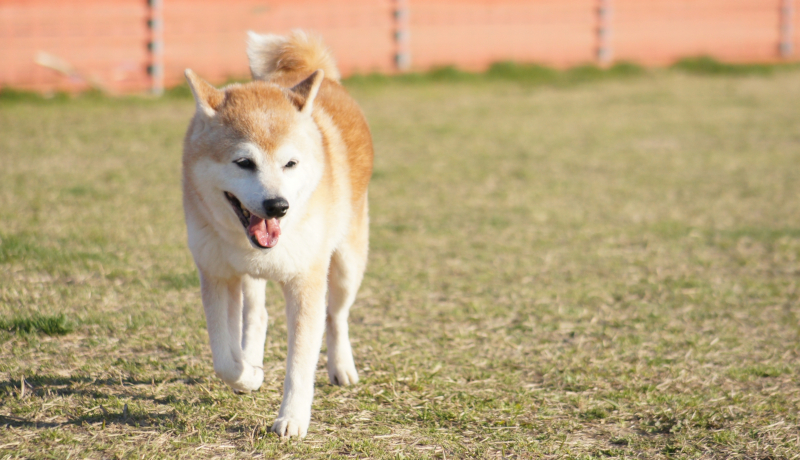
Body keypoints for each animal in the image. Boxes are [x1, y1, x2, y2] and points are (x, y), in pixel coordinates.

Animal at [184, 30, 376, 436]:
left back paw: (341, 367)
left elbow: (300, 363)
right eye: (243, 162)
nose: (277, 206)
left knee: (336, 316)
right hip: (247, 278)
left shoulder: (305, 281)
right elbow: (224, 359)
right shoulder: (216, 273)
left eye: (291, 163)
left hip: (347, 263)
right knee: (257, 316)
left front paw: (292, 418)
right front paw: (249, 374)